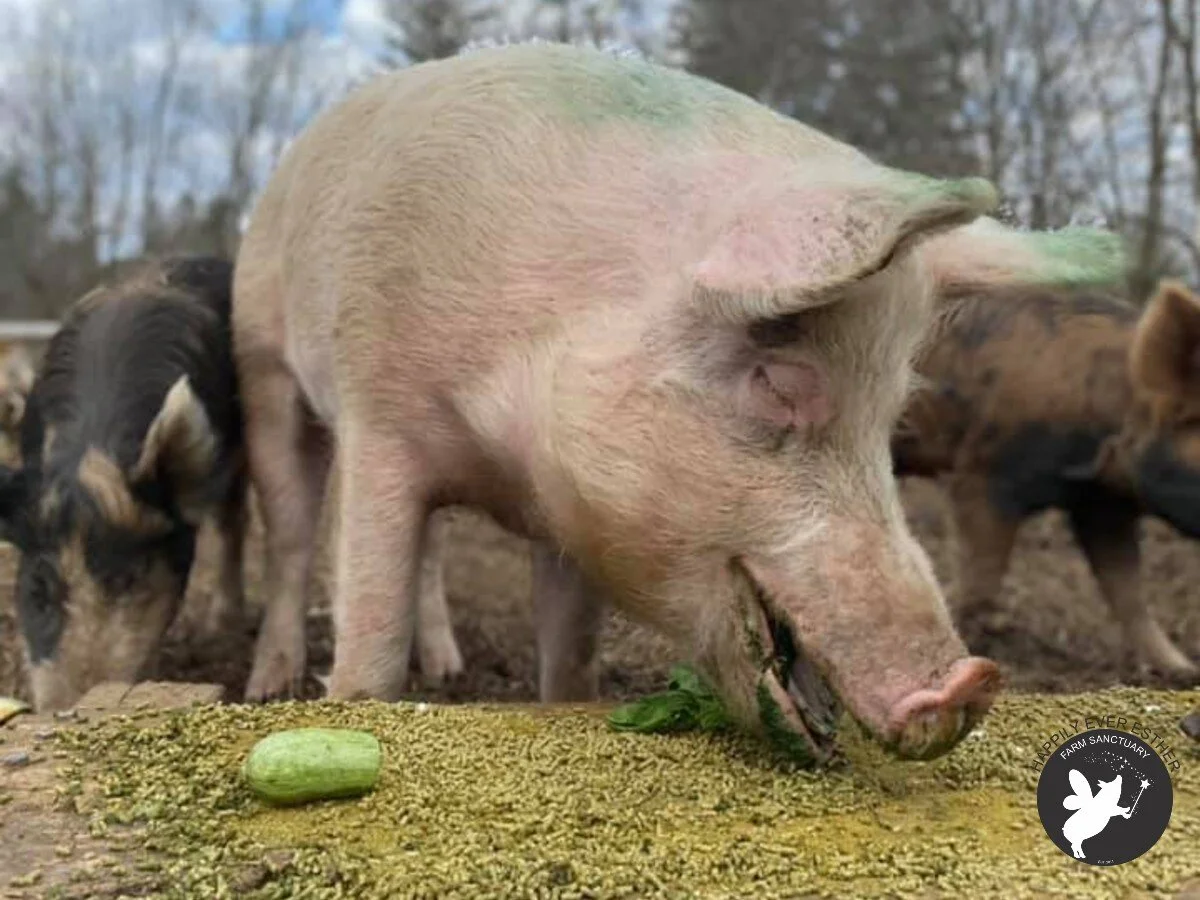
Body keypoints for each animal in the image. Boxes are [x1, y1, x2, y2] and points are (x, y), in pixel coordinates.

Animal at [0, 256, 247, 712]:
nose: (65, 710)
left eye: (128, 579)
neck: (93, 453)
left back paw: (221, 628)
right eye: (38, 589)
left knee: (232, 522)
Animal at [232, 41, 1127, 762]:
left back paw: (446, 669)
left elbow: (571, 653)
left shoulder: (574, 509)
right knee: (291, 531)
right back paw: (268, 685)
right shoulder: (378, 414)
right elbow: (371, 621)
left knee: (433, 554)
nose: (973, 680)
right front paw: (351, 708)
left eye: (890, 415)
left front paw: (563, 702)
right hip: (263, 360)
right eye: (778, 384)